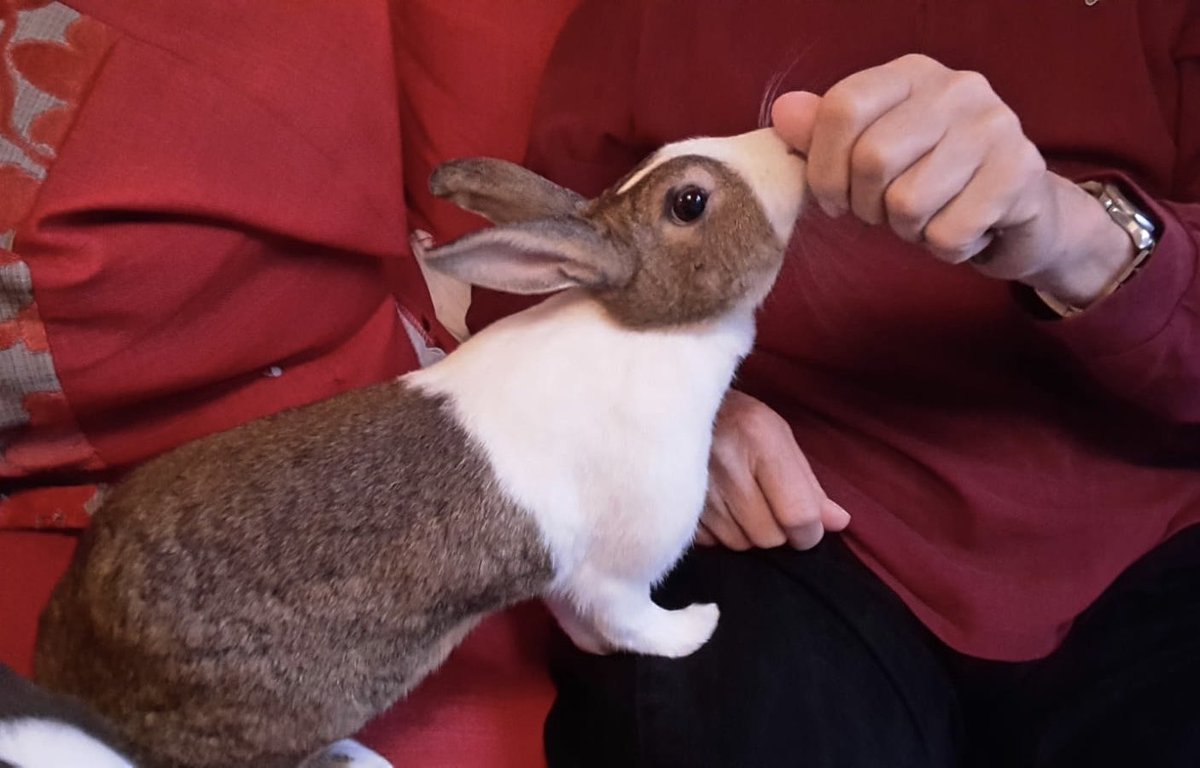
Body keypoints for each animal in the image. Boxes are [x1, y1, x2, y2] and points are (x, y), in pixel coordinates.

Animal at [32, 126, 808, 768]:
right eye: (689, 202)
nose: (791, 147)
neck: (645, 326)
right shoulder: (621, 561)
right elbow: (632, 620)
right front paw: (696, 629)